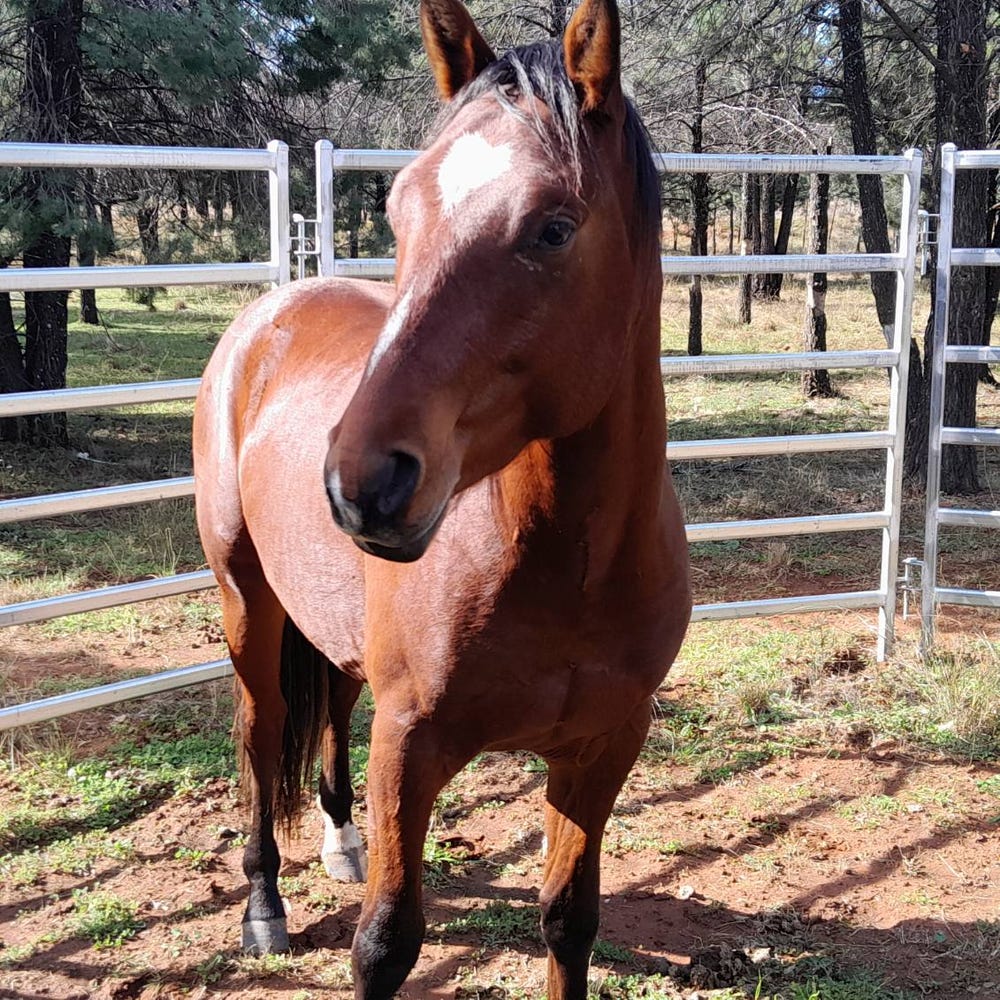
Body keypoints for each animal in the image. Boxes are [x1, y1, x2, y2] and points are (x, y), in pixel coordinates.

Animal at [193, 0, 690, 995]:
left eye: (553, 228)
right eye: (398, 209)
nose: (360, 481)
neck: (564, 564)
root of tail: (267, 315)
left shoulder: (600, 748)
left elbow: (569, 920)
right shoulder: (410, 745)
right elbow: (387, 942)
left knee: (330, 707)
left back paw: (339, 841)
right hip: (246, 602)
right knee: (261, 731)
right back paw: (263, 903)